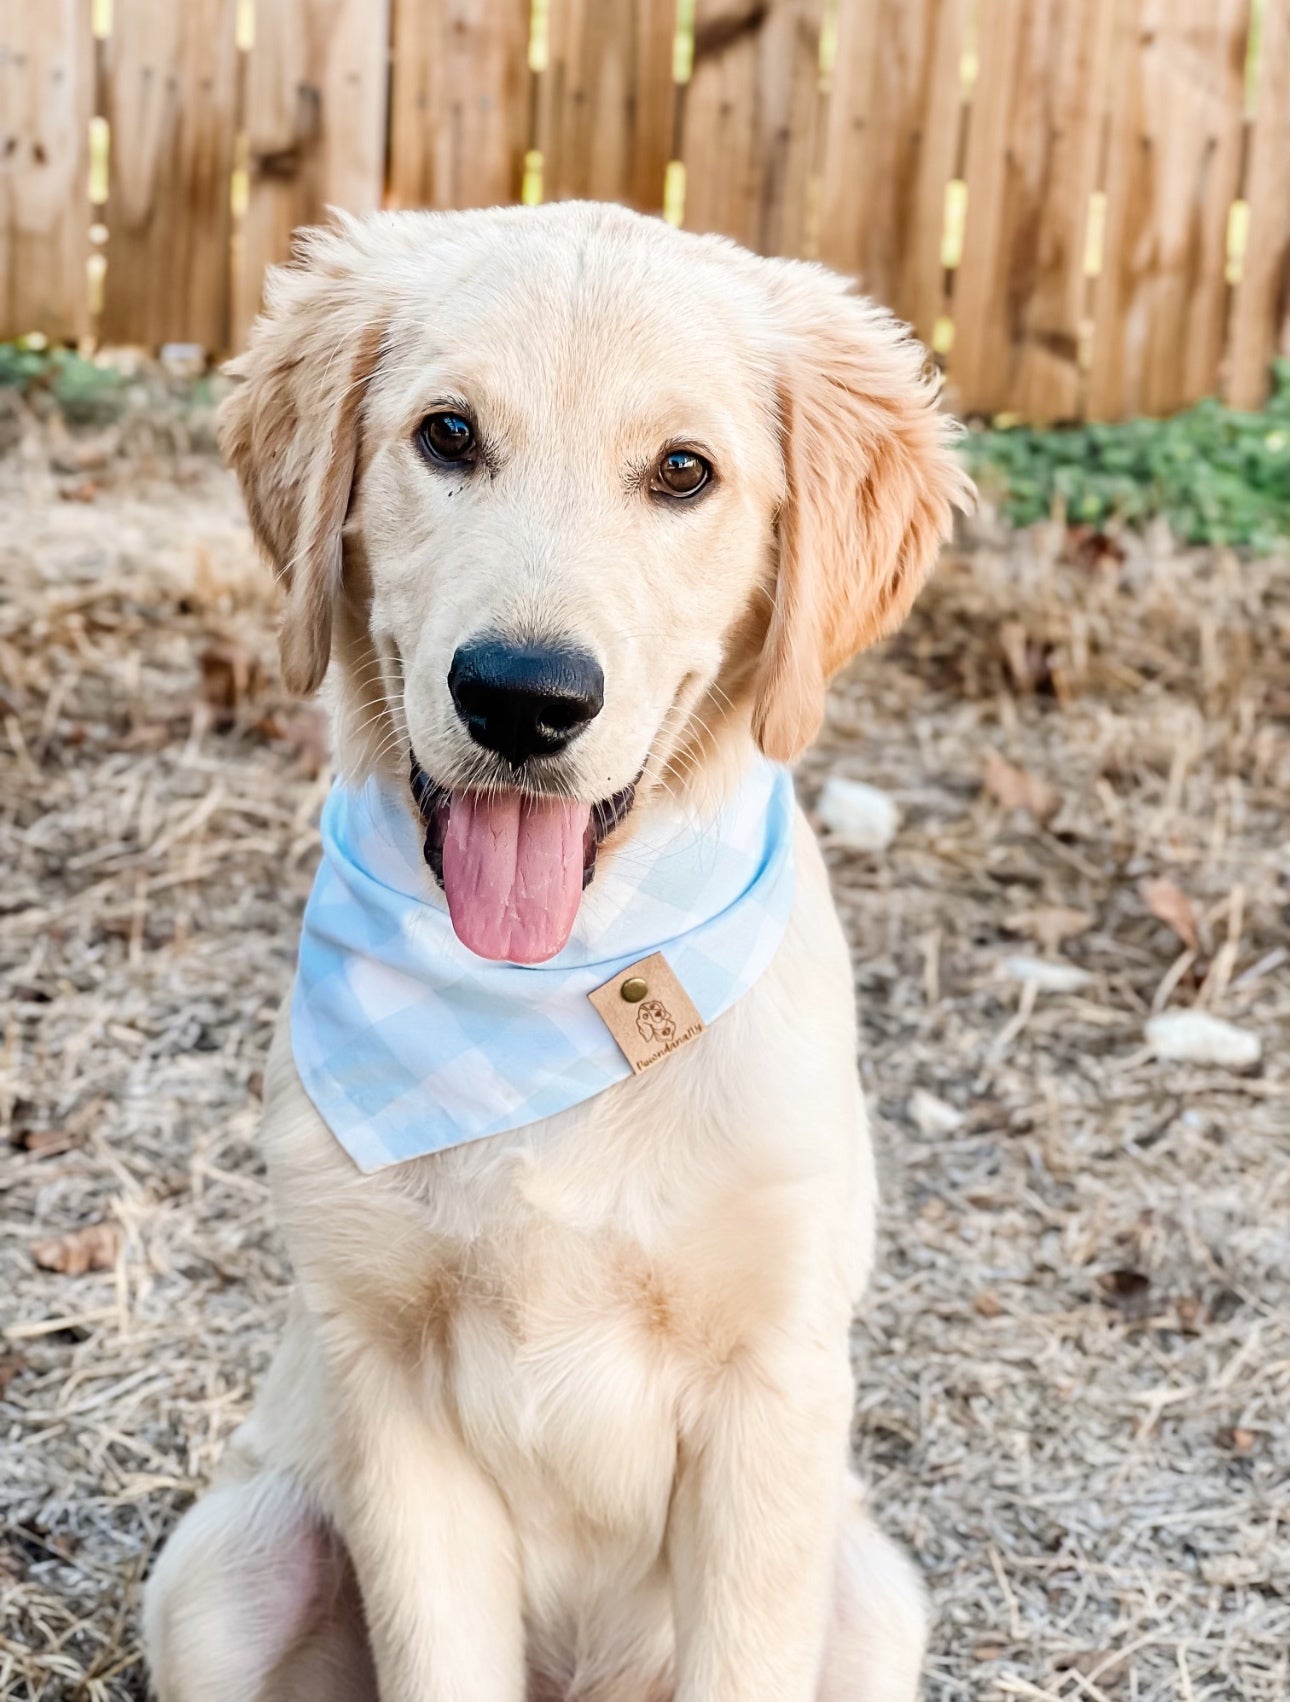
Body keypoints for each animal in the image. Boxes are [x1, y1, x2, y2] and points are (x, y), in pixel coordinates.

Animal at [143, 202, 966, 1702]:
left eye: (684, 470)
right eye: (448, 434)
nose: (523, 696)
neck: (545, 996)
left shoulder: (774, 1388)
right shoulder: (382, 1378)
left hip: (872, 1596)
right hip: (228, 1559)